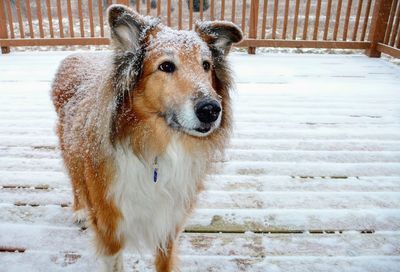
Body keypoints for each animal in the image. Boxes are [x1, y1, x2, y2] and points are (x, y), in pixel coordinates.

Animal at [51, 4, 242, 272]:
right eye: (166, 66)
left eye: (206, 65)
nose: (211, 110)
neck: (158, 149)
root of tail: (75, 57)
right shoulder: (110, 229)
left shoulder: (168, 225)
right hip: (72, 153)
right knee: (76, 182)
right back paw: (79, 210)